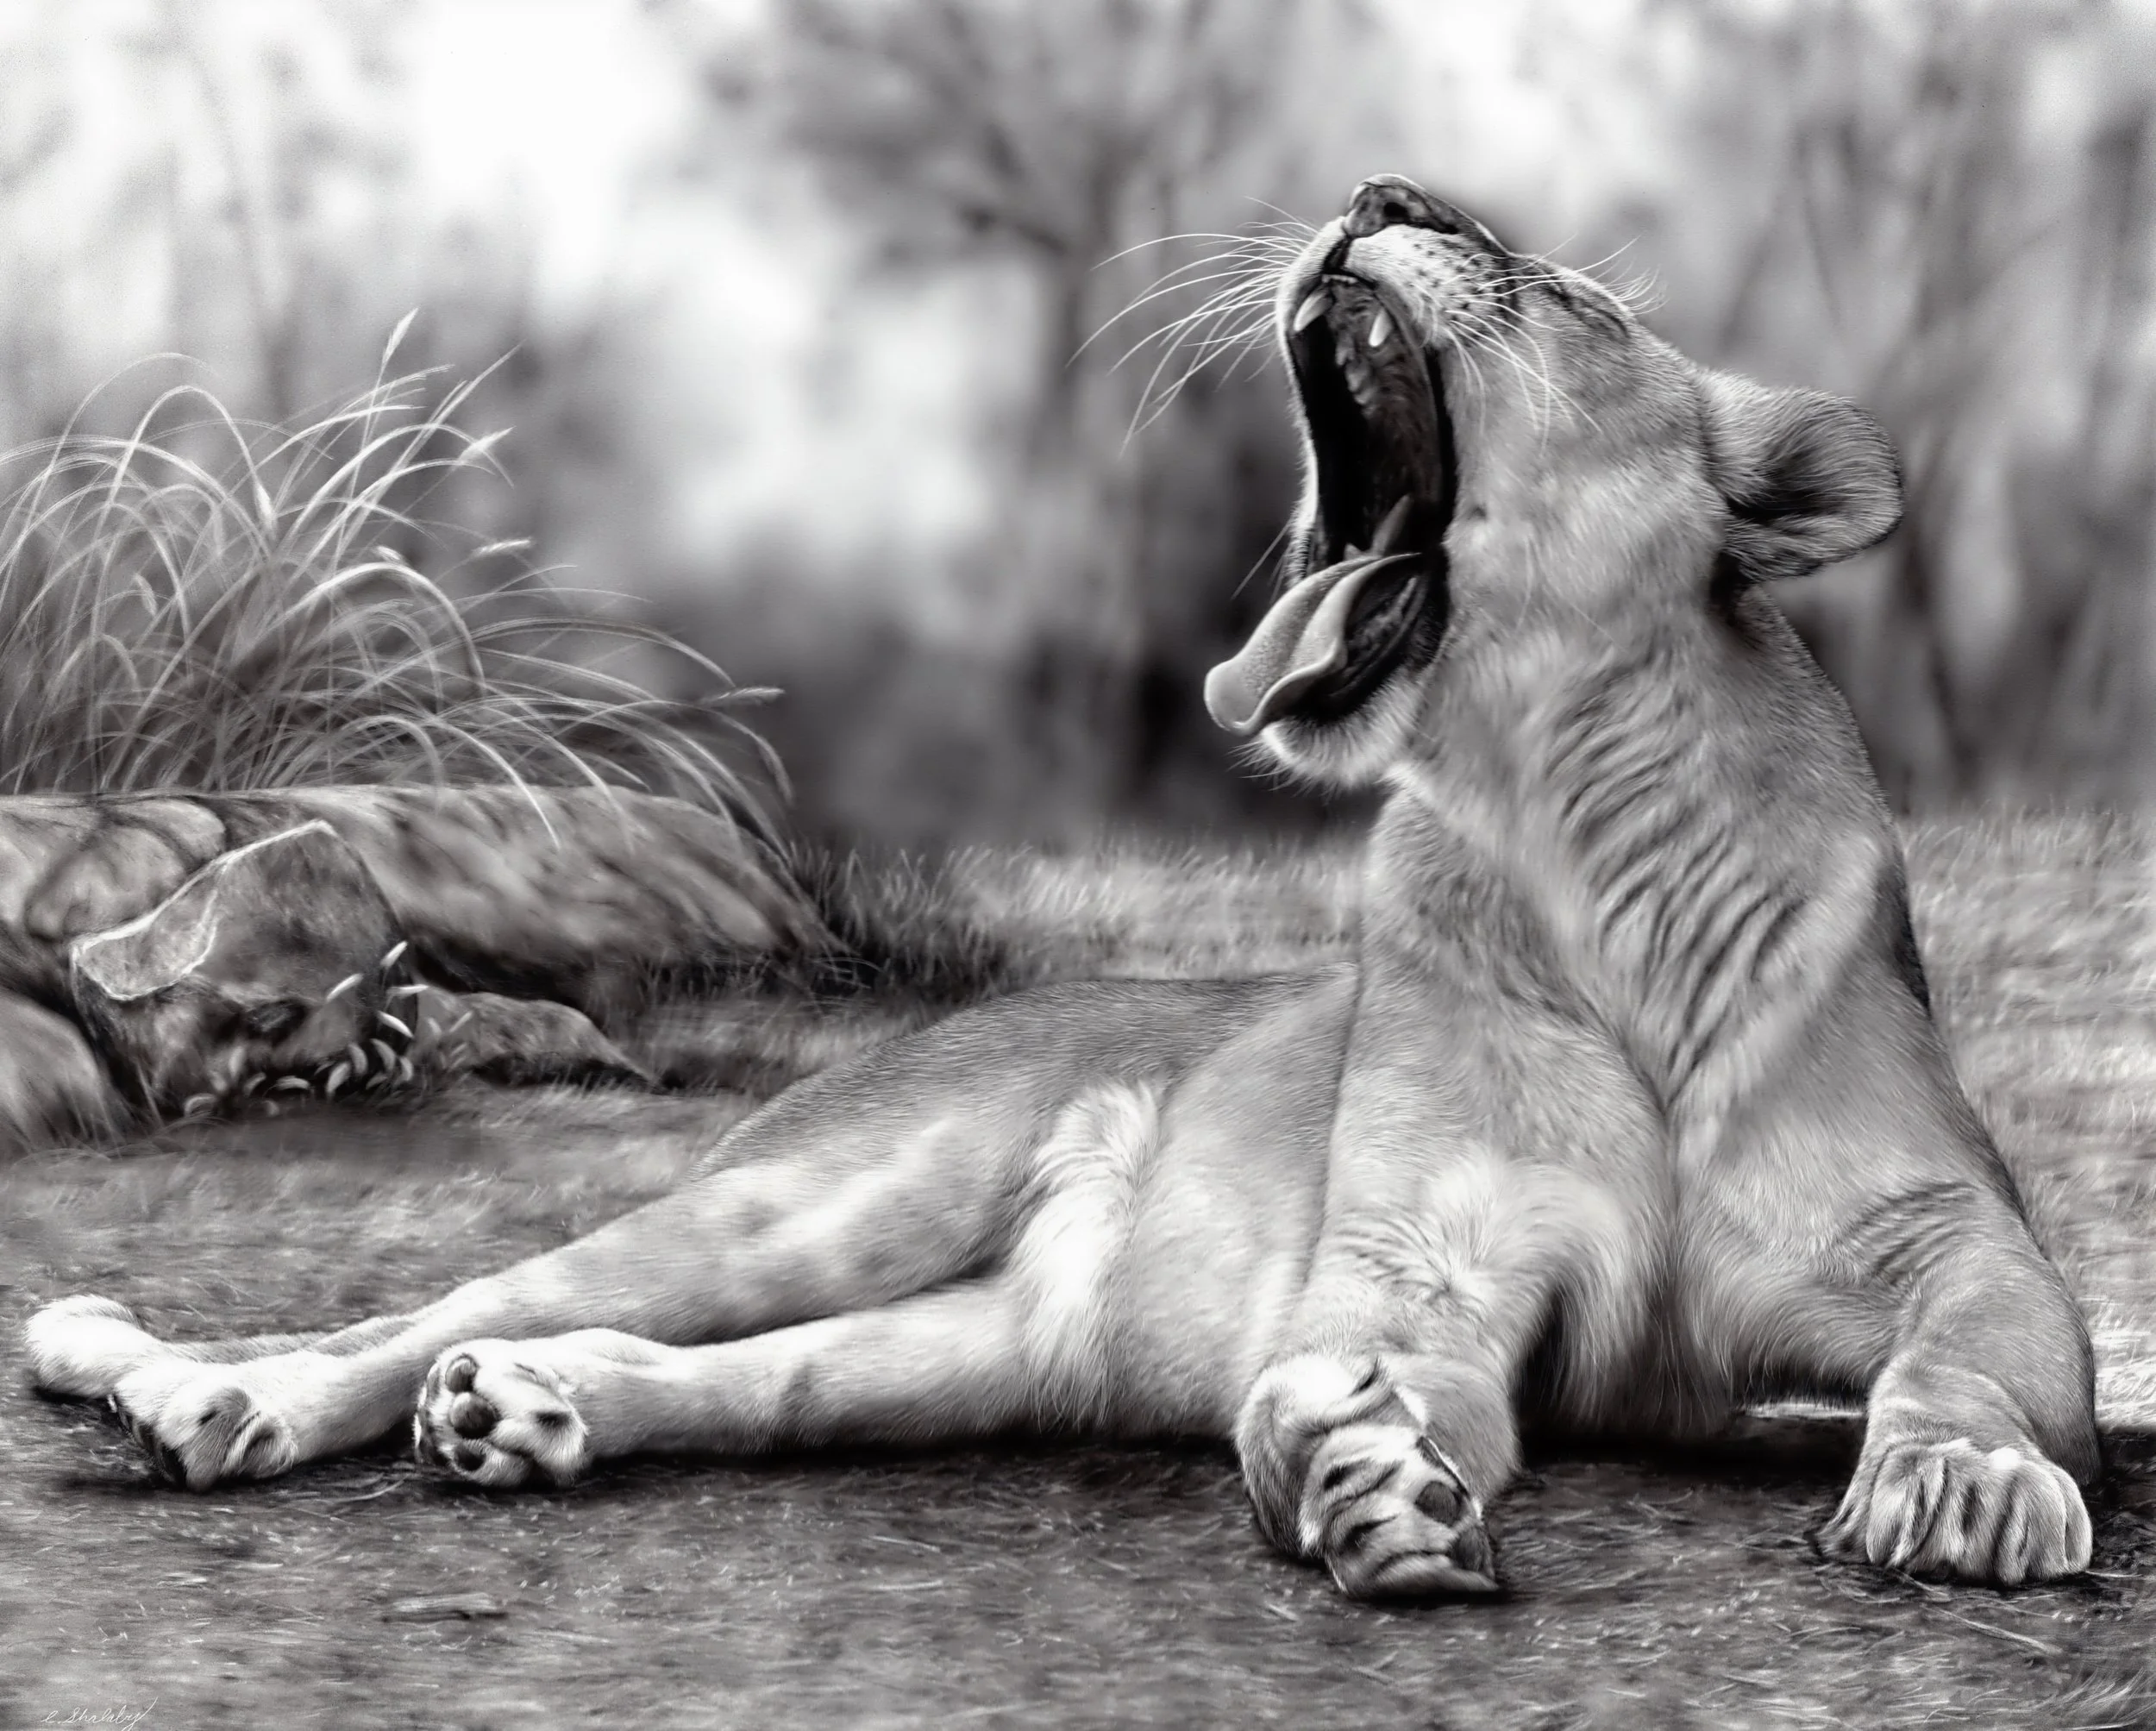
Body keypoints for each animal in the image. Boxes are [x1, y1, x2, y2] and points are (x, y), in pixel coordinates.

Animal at [24, 174, 2098, 1599]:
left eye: (1566, 294)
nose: (1381, 194)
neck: (1573, 824)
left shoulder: (1960, 1240)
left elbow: (1976, 1353)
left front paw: (1963, 1488)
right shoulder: (1407, 1264)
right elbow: (1350, 1380)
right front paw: (1361, 1479)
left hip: (972, 1348)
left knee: (741, 1376)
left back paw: (529, 1408)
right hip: (816, 1198)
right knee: (421, 1310)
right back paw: (214, 1395)